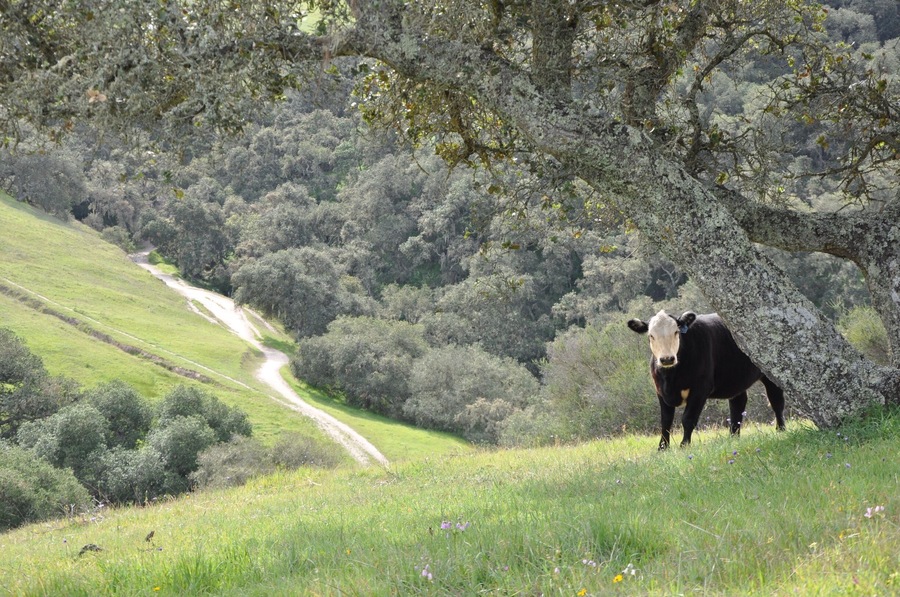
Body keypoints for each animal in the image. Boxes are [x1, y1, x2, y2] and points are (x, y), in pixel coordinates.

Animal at [627, 310, 786, 450]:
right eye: (651, 335)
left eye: (676, 332)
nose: (667, 359)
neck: (671, 378)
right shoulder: (660, 391)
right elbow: (665, 421)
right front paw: (662, 447)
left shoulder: (700, 389)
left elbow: (688, 419)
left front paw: (684, 445)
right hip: (735, 378)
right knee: (738, 404)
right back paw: (733, 437)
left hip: (771, 375)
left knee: (776, 401)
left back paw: (781, 429)